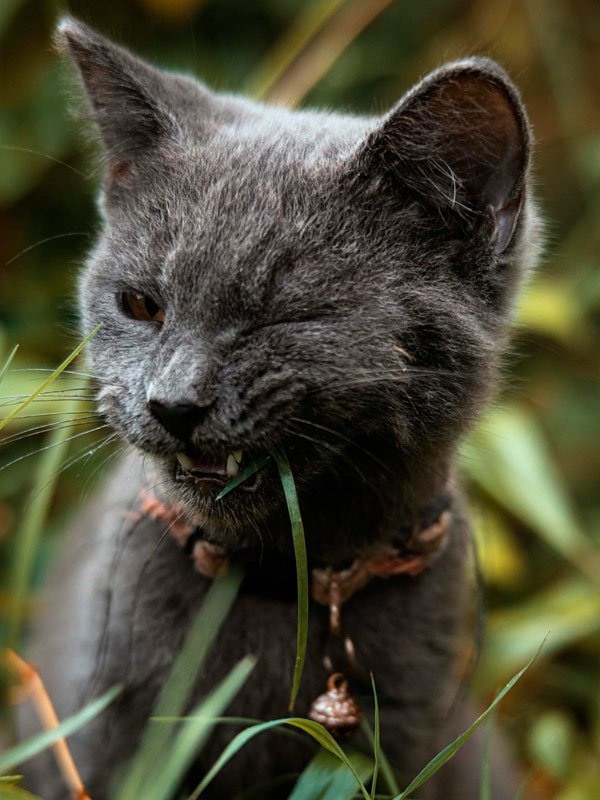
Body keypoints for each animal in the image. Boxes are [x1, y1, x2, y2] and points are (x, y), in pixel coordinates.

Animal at [21, 14, 540, 800]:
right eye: (141, 305)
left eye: (284, 317)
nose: (172, 401)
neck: (291, 583)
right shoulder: (102, 741)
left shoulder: (413, 738)